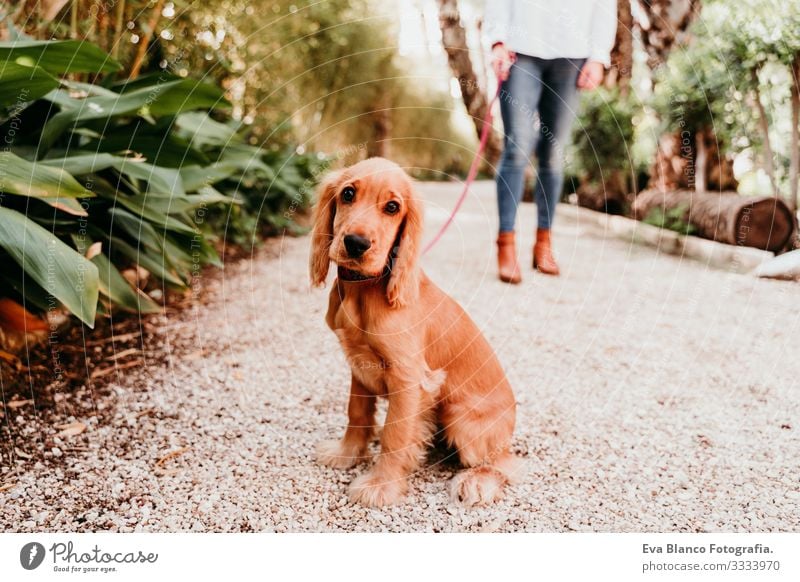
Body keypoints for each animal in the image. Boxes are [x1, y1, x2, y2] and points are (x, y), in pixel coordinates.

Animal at [310, 159, 520, 506]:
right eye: (348, 194)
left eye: (393, 207)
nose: (356, 243)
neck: (364, 289)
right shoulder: (358, 364)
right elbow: (357, 411)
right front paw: (346, 452)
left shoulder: (408, 377)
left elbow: (395, 434)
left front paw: (381, 485)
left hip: (462, 419)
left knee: (507, 462)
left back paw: (477, 482)